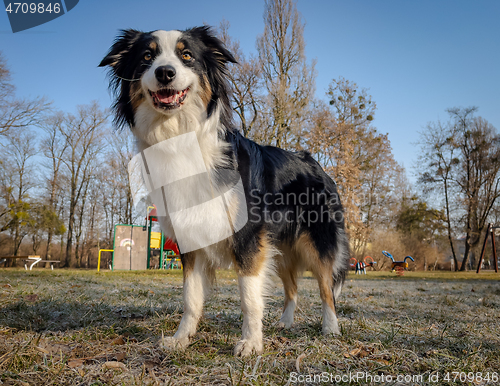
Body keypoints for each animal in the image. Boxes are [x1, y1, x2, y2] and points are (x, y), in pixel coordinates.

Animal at [99, 25, 350, 356]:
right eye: (146, 57)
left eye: (186, 55)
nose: (165, 72)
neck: (179, 137)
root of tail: (317, 165)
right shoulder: (190, 240)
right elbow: (191, 297)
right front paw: (181, 339)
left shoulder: (249, 238)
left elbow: (249, 298)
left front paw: (251, 343)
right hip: (281, 248)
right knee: (293, 287)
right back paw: (284, 322)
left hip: (316, 242)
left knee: (326, 288)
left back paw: (330, 328)